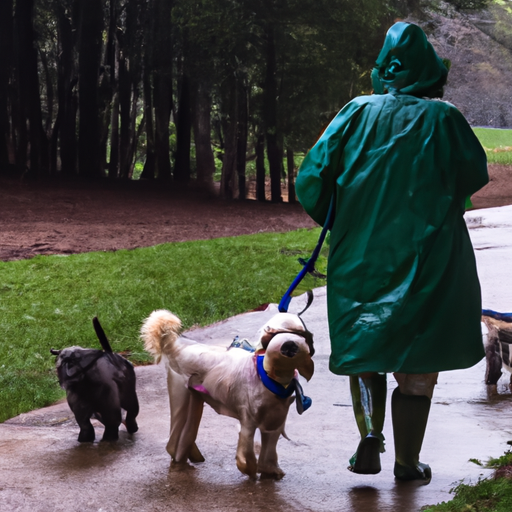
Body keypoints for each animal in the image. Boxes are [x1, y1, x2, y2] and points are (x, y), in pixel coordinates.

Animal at [142, 308, 314, 480]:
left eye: (299, 333)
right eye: (278, 333)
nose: (289, 346)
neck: (269, 377)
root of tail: (174, 345)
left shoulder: (275, 422)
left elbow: (269, 450)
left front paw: (270, 470)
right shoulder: (248, 422)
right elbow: (246, 453)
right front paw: (250, 470)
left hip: (195, 400)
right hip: (182, 394)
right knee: (175, 440)